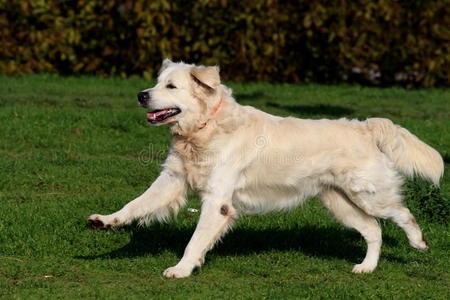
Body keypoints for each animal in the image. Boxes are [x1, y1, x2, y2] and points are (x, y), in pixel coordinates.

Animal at [88, 59, 442, 278]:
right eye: (157, 83)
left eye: (171, 87)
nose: (141, 95)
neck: (205, 128)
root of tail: (364, 126)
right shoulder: (173, 180)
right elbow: (135, 204)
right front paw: (105, 221)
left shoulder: (217, 201)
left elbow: (195, 239)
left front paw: (183, 269)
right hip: (340, 203)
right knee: (374, 230)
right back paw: (366, 268)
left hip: (369, 194)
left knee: (403, 214)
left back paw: (419, 244)